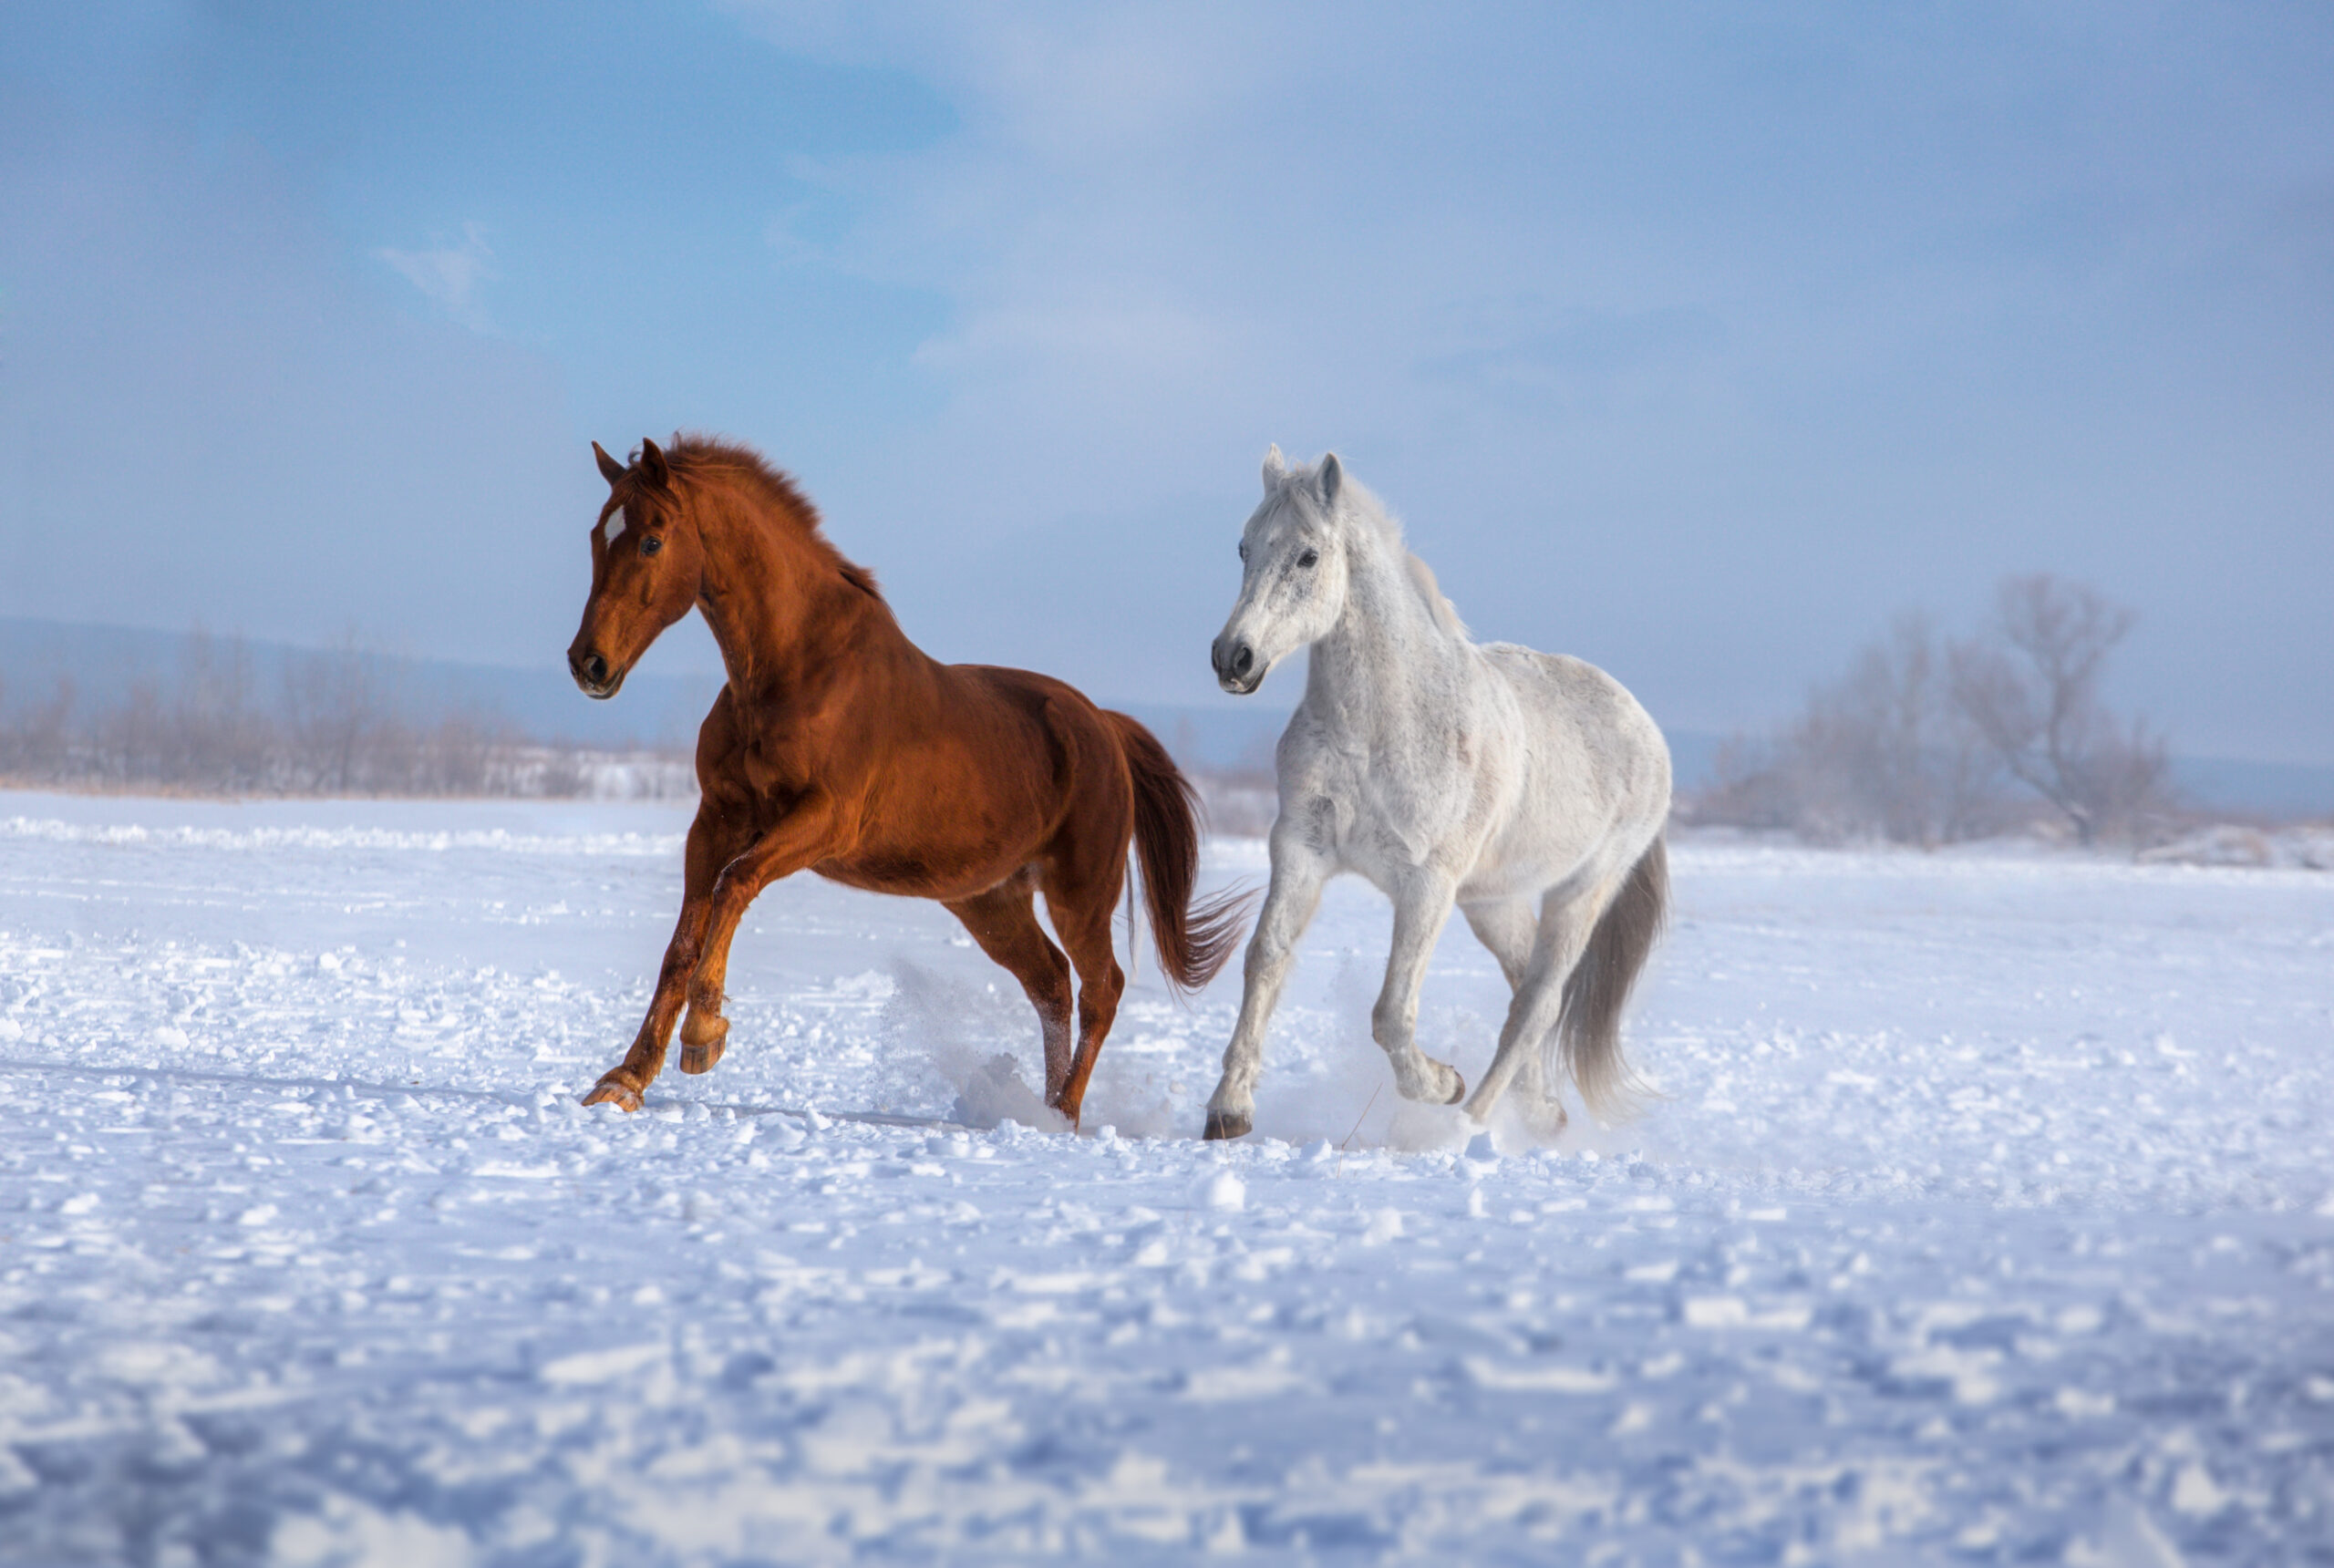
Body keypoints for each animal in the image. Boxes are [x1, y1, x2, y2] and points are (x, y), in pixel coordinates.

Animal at [565, 435, 1244, 1124]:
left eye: (652, 540)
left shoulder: (825, 821)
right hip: (991, 901)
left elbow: (735, 886)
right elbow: (681, 945)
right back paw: (1038, 1109)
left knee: (1101, 988)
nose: (588, 663)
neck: (797, 670)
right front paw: (624, 1081)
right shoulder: (716, 820)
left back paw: (1061, 1117)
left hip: (1079, 894)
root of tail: (1104, 726)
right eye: (598, 534)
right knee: (1051, 983)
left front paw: (704, 1037)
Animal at [1200, 446, 1671, 1143]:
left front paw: (1442, 1084)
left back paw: (1466, 1125)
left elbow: (1392, 1013)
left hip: (1581, 893)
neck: (1377, 728)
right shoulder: (1300, 850)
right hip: (1493, 900)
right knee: (1524, 986)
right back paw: (1541, 1112)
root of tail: (1645, 726)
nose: (1234, 657)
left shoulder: (1426, 885)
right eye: (1244, 548)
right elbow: (1266, 959)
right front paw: (1228, 1110)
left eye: (1308, 556)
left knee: (1538, 1004)